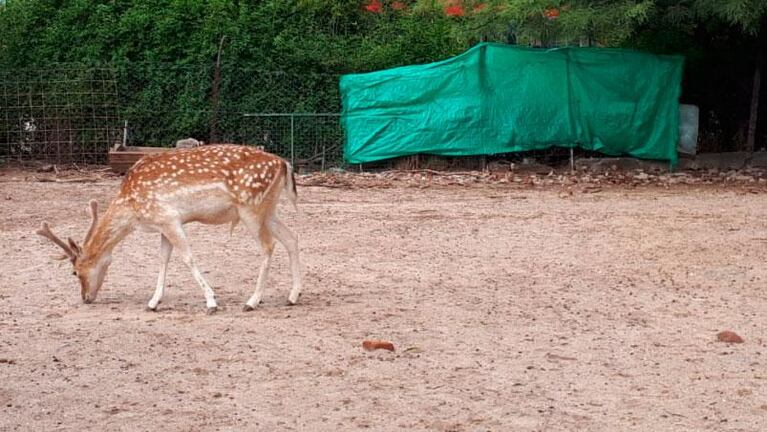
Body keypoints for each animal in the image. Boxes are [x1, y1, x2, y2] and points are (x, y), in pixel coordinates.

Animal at [34, 143, 304, 312]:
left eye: (75, 272)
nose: (86, 298)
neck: (132, 208)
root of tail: (284, 164)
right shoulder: (162, 224)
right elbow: (163, 259)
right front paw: (153, 302)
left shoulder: (169, 218)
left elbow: (188, 258)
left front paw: (211, 302)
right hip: (269, 209)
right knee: (292, 238)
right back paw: (293, 296)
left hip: (251, 208)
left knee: (269, 246)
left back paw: (252, 301)